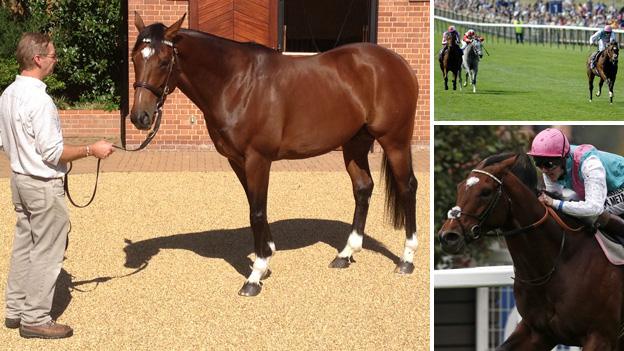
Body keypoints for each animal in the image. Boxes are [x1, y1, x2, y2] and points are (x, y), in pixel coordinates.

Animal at [129, 13, 420, 296]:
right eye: (134, 59)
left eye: (164, 62)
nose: (140, 117)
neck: (236, 83)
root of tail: (399, 63)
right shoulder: (237, 161)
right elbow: (254, 206)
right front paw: (267, 254)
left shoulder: (258, 159)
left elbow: (257, 212)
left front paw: (255, 274)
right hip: (354, 144)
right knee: (363, 188)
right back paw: (345, 254)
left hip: (394, 141)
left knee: (407, 187)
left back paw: (406, 259)